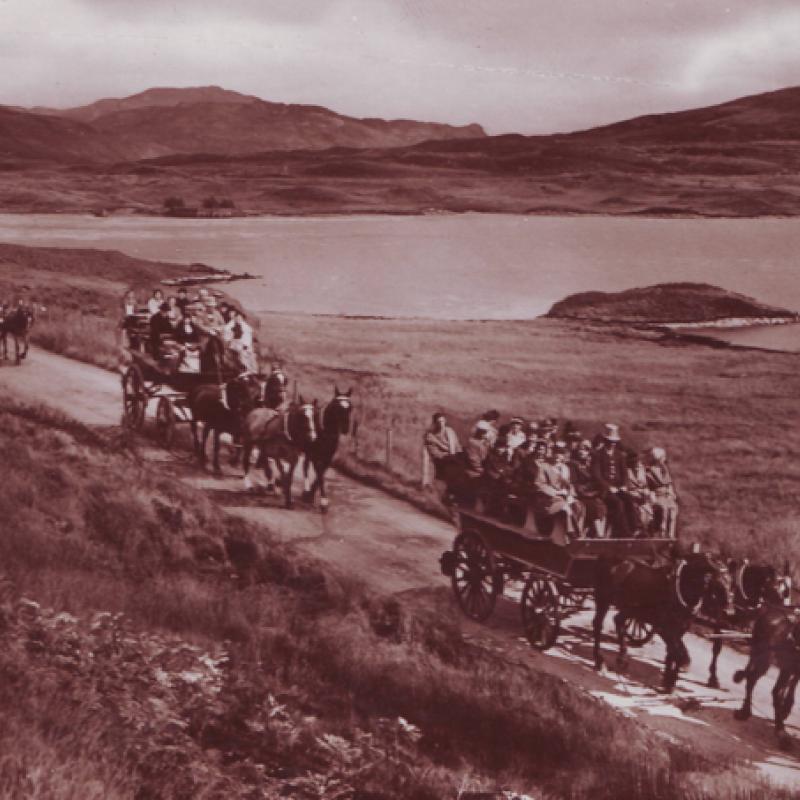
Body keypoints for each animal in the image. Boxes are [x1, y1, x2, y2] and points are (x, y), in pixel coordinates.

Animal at [592, 552, 736, 692]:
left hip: (630, 609)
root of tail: (607, 557)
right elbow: (677, 653)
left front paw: (668, 679)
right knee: (598, 625)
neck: (682, 589)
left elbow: (674, 652)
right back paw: (599, 660)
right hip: (603, 599)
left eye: (730, 583)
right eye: (716, 584)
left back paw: (622, 657)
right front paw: (670, 682)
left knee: (618, 621)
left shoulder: (681, 627)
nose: (729, 612)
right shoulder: (665, 627)